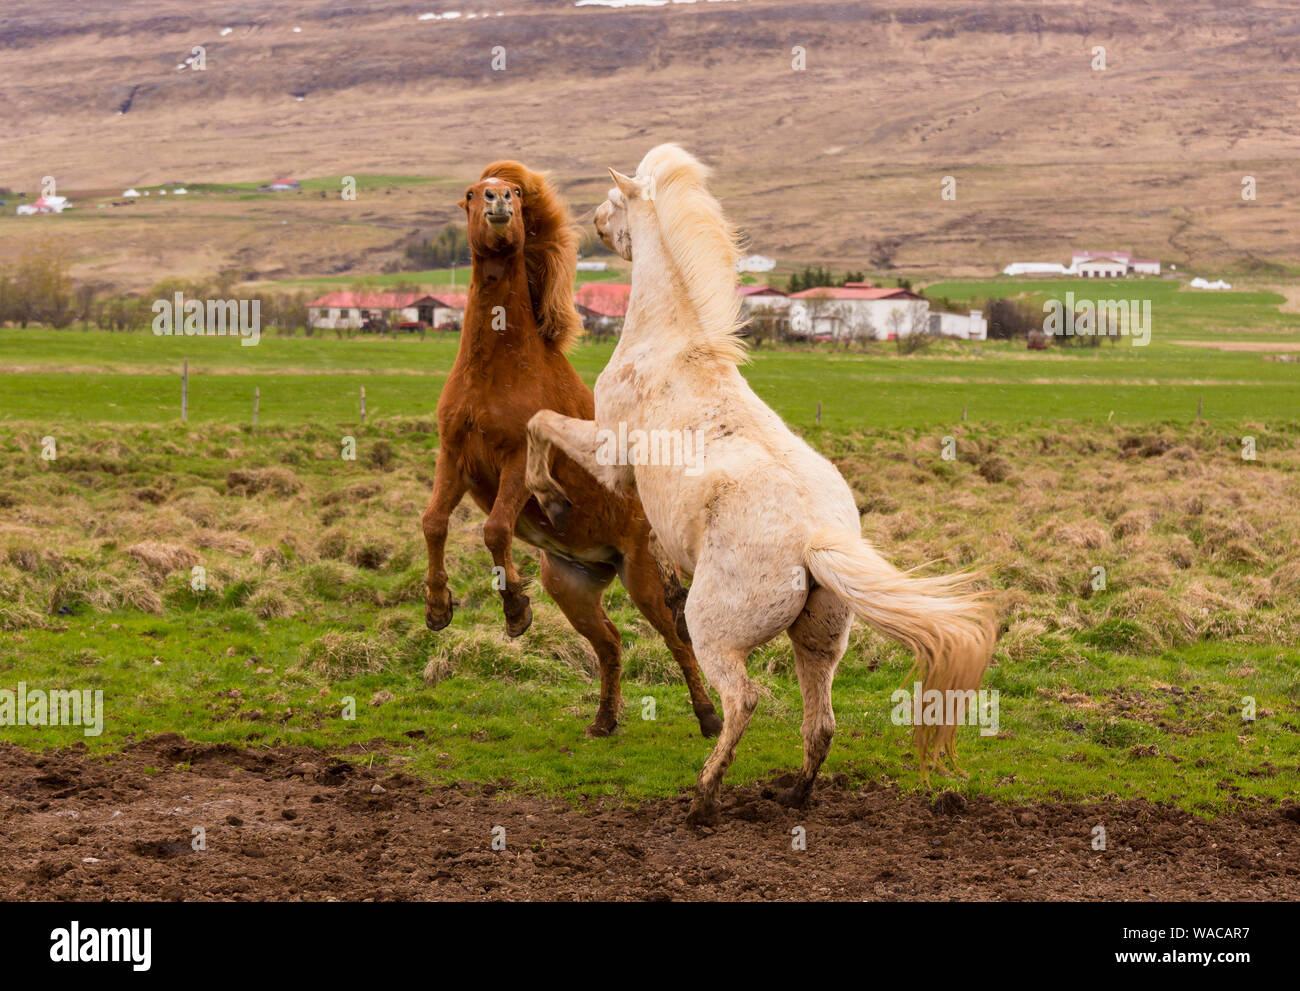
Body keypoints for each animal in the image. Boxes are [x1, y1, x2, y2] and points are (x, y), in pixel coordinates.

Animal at [421, 159, 722, 733]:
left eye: (517, 194)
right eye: (471, 193)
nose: (498, 202)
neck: (497, 370)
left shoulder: (518, 460)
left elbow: (495, 529)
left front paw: (515, 610)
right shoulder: (454, 457)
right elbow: (433, 524)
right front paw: (438, 608)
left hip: (643, 579)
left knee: (678, 640)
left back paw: (709, 718)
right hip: (572, 587)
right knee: (610, 643)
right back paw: (604, 719)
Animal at [527, 145, 993, 827]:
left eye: (616, 201)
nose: (595, 224)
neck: (672, 342)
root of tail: (814, 540)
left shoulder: (609, 457)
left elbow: (539, 423)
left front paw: (549, 496)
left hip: (718, 634)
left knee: (744, 699)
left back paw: (703, 797)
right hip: (819, 643)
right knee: (821, 723)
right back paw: (793, 795)